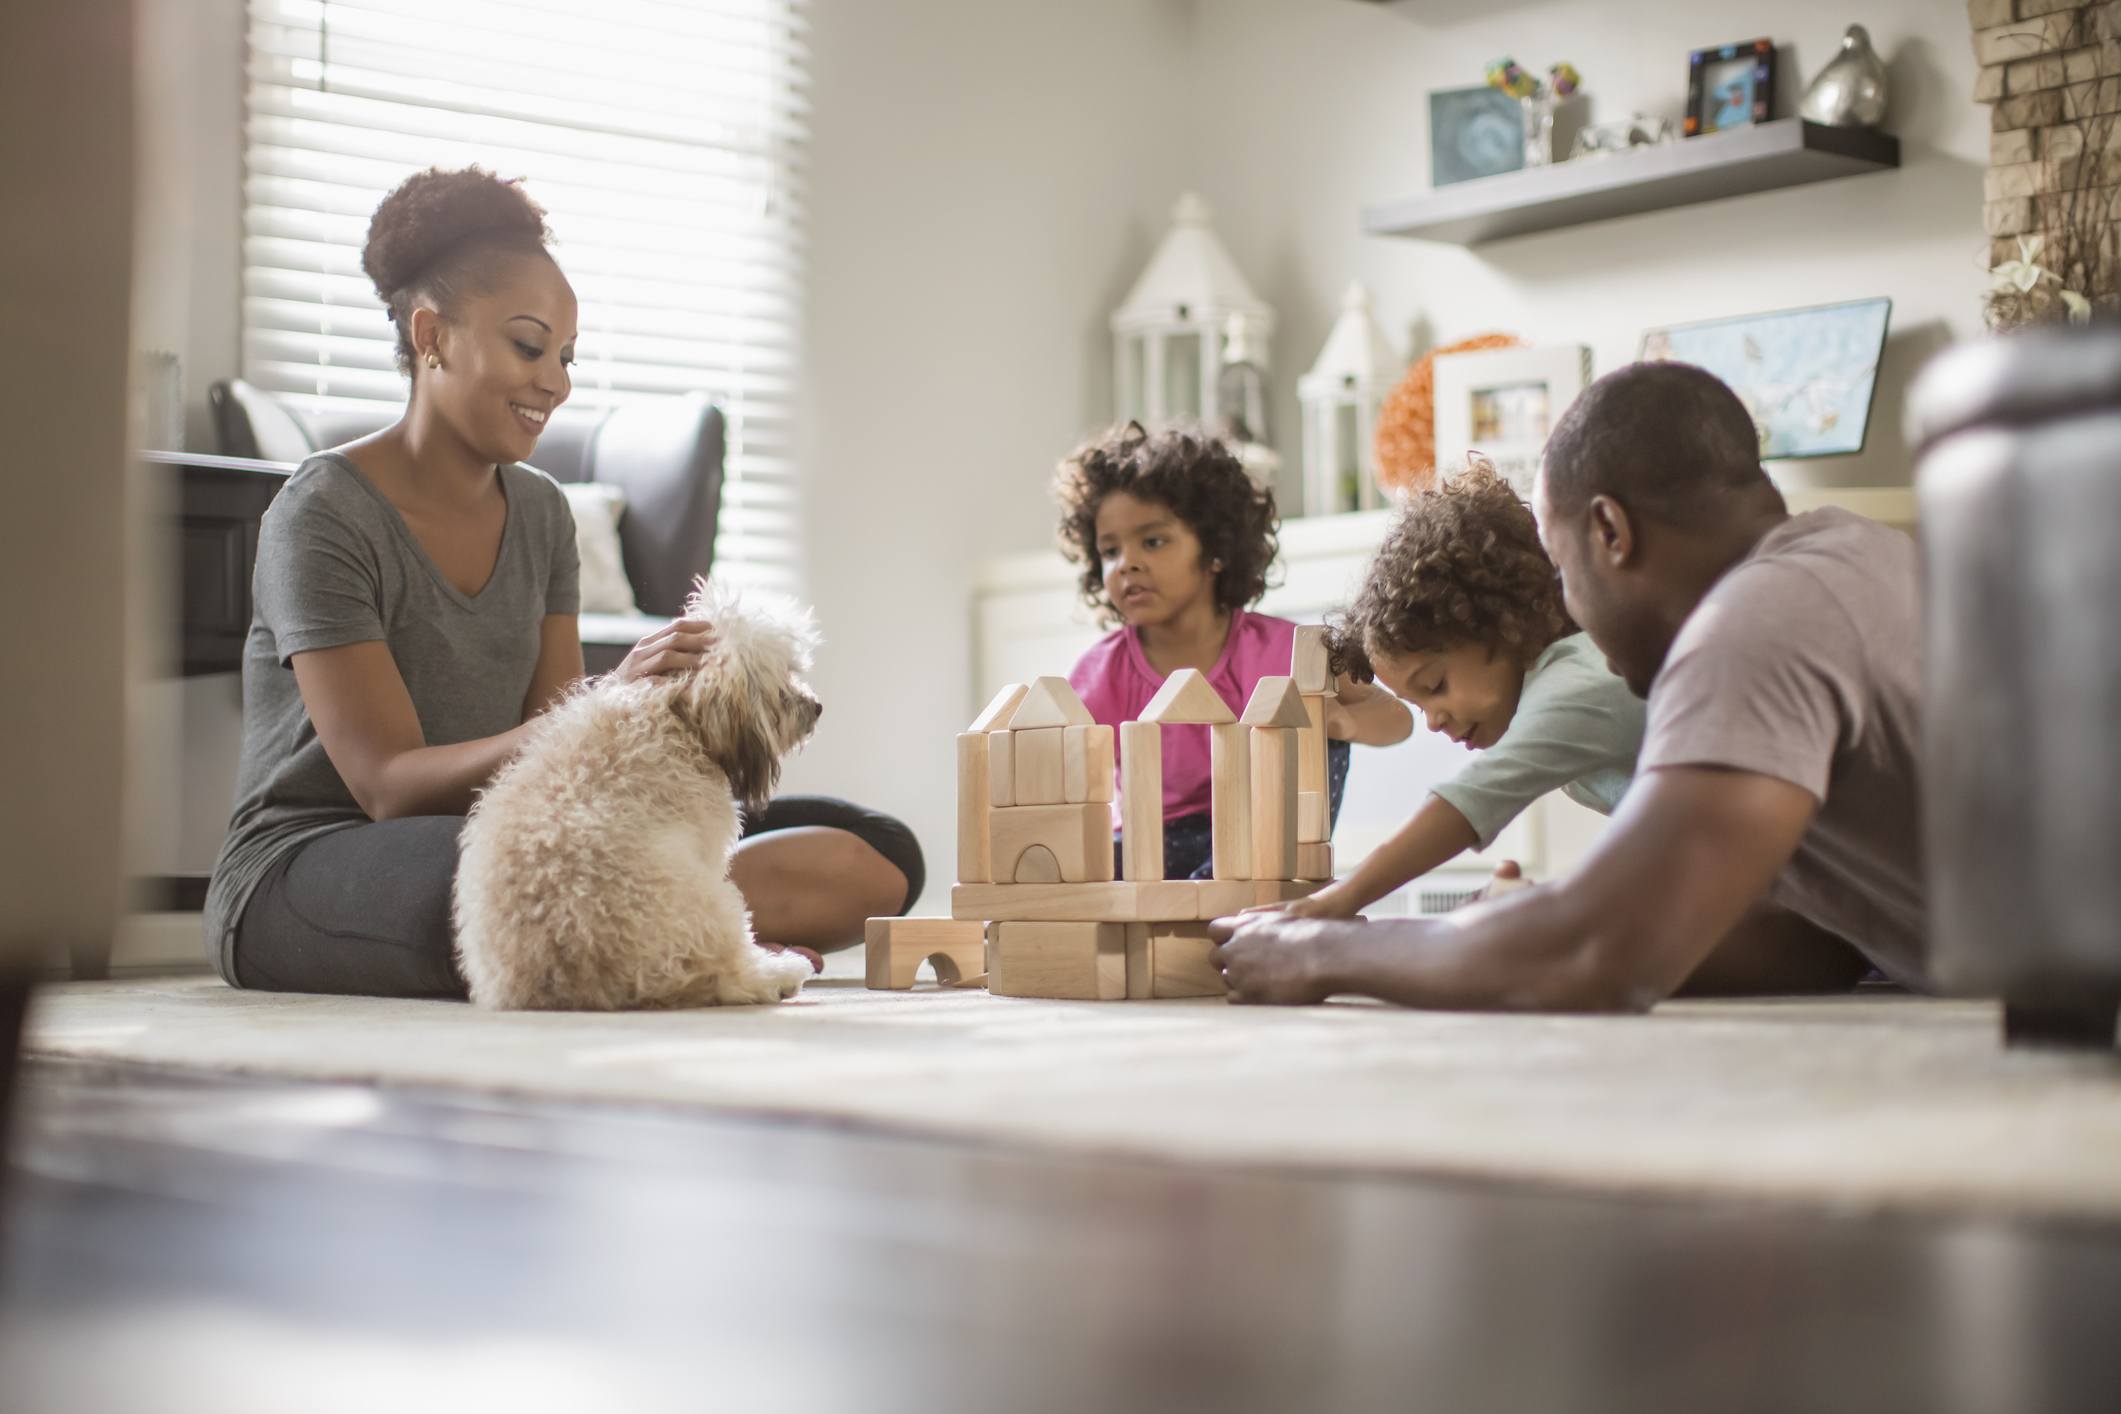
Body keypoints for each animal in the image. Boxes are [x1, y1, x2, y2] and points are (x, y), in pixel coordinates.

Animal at [456, 580, 818, 1013]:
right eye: (784, 677)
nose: (817, 707)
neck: (675, 713)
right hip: (709, 902)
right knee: (731, 975)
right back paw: (782, 972)